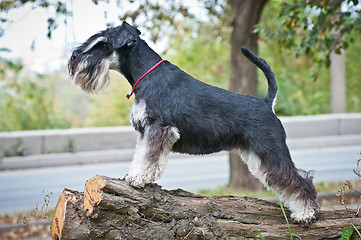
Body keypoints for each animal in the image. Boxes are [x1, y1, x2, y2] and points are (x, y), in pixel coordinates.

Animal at [69, 21, 320, 226]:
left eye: (102, 44)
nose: (73, 59)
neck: (146, 74)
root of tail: (266, 103)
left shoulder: (158, 128)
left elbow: (148, 157)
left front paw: (138, 179)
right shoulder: (146, 131)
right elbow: (141, 154)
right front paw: (134, 175)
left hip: (271, 150)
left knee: (300, 181)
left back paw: (306, 214)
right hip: (257, 155)